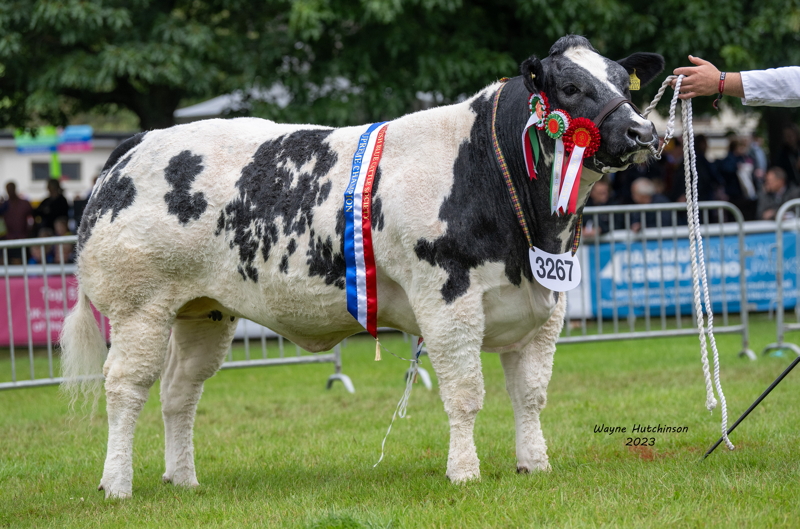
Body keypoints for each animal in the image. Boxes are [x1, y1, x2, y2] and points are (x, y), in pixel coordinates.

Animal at [61, 35, 664, 498]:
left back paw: (183, 479)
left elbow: (531, 394)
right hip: (139, 304)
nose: (643, 132)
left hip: (202, 310)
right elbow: (465, 393)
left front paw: (533, 465)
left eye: (622, 80)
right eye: (571, 87)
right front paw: (464, 473)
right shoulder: (448, 299)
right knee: (126, 385)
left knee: (180, 390)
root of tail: (136, 143)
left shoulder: (543, 304)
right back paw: (116, 485)